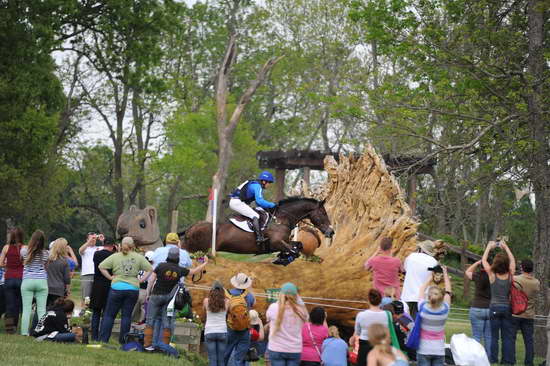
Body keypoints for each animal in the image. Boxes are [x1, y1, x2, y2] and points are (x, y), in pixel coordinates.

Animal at [183, 197, 334, 254]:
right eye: (323, 213)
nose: (331, 232)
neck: (281, 219)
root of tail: (191, 228)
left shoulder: (283, 242)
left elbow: (299, 245)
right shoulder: (276, 242)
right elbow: (293, 250)